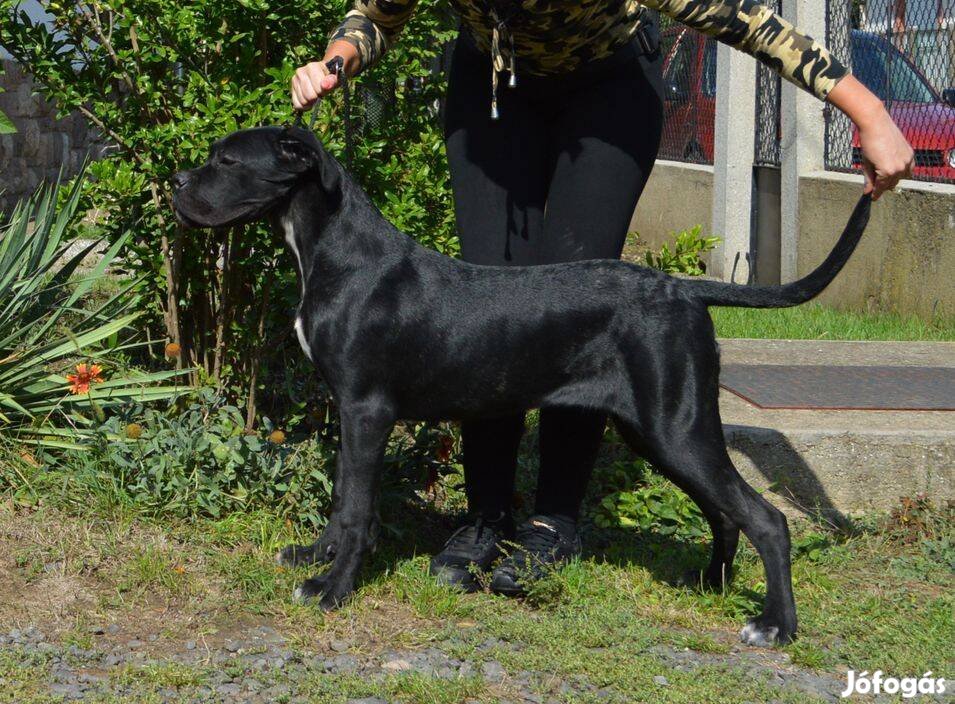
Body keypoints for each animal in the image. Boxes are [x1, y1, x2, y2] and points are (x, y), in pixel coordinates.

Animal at [172, 125, 872, 644]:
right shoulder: (349, 411)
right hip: (658, 430)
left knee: (766, 518)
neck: (332, 250)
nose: (177, 182)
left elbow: (356, 504)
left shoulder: (367, 411)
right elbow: (343, 497)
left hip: (677, 429)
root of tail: (685, 288)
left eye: (226, 160)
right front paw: (315, 559)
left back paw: (775, 626)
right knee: (724, 512)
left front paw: (333, 589)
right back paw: (711, 583)